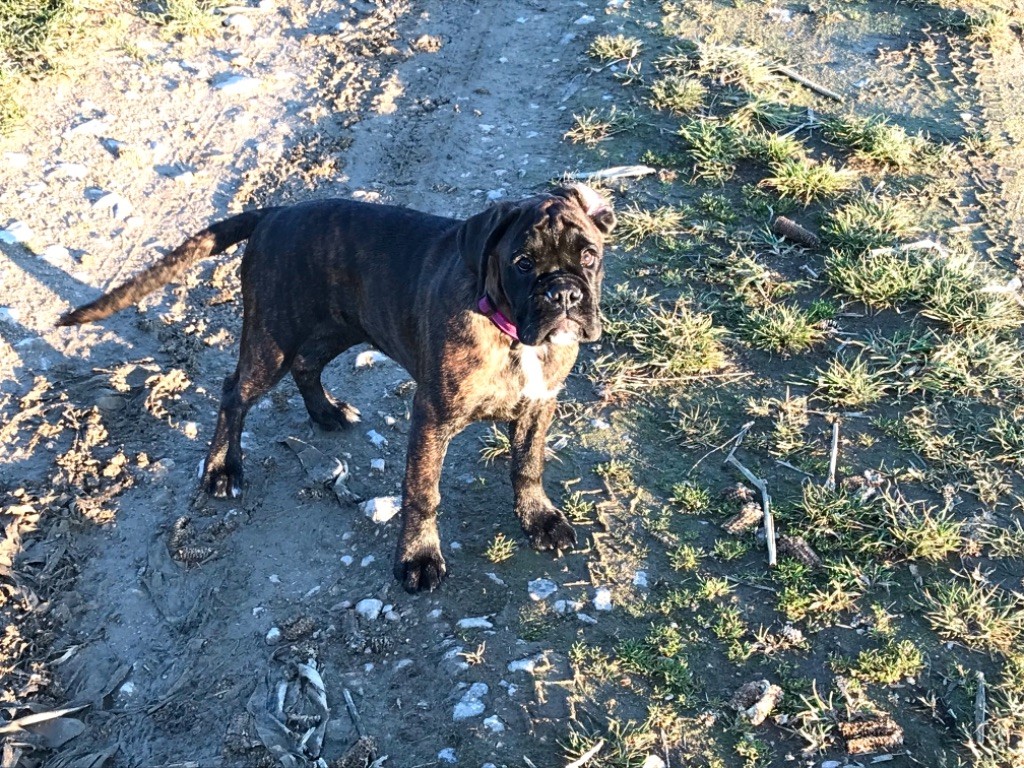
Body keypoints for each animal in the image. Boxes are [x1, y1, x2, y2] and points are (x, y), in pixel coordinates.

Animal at [58, 185, 615, 592]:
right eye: (522, 263)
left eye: (589, 256)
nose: (564, 294)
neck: (511, 332)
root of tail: (275, 214)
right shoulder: (432, 414)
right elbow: (422, 491)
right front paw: (419, 557)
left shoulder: (539, 406)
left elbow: (528, 466)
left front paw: (539, 519)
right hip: (272, 338)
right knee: (234, 392)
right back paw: (221, 469)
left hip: (337, 325)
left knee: (307, 366)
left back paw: (325, 413)